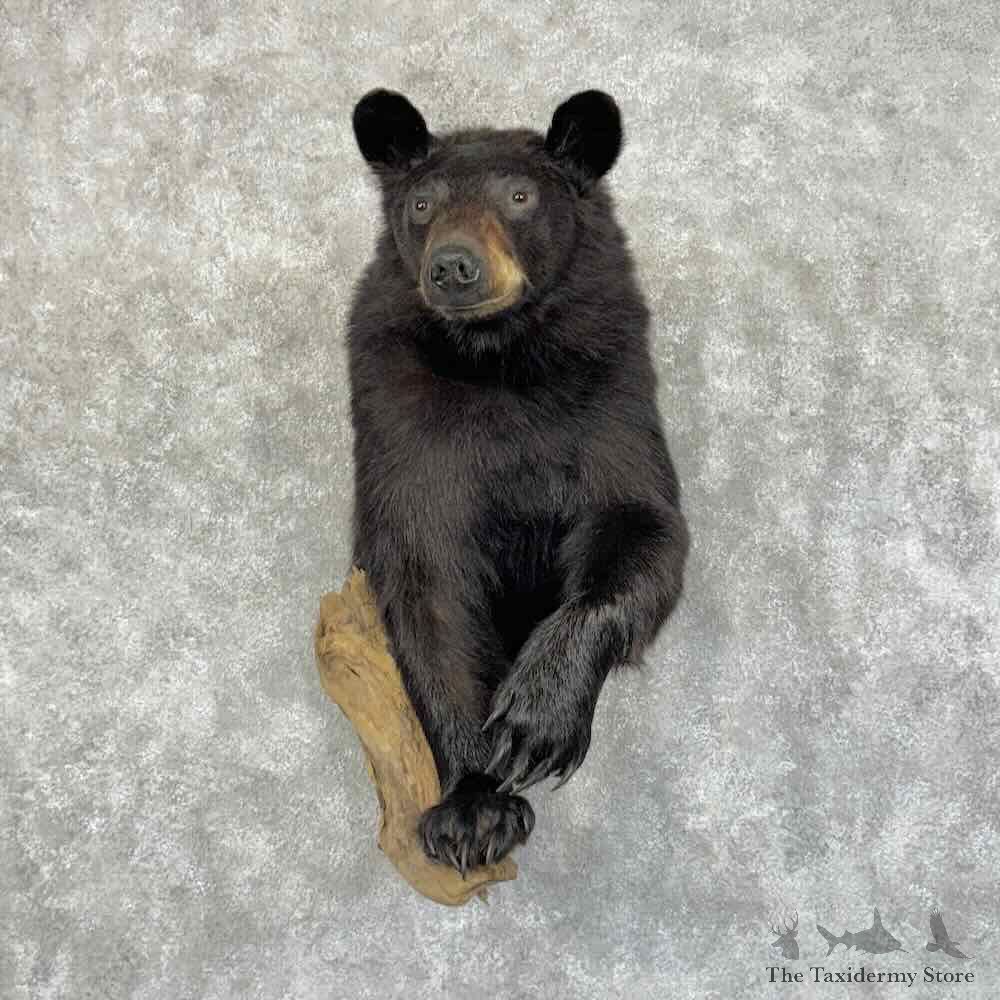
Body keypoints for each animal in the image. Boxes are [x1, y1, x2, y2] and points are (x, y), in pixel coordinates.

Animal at [347, 88, 689, 875]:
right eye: (422, 203)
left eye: (520, 195)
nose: (454, 266)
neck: (498, 359)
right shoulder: (402, 421)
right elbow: (426, 583)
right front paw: (473, 807)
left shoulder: (610, 395)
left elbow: (641, 525)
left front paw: (536, 721)